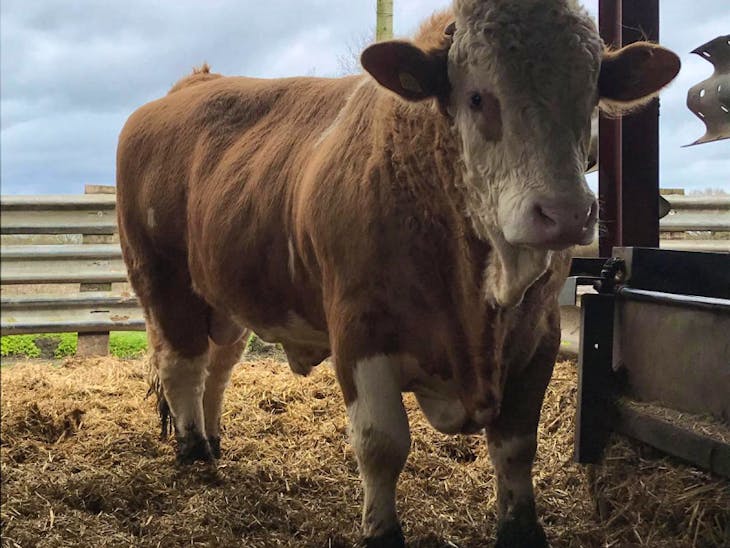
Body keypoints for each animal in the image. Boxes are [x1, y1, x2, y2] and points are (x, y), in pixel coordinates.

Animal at [116, 1, 679, 545]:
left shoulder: (539, 335)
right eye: (477, 97)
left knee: (219, 364)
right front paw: (380, 530)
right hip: (162, 279)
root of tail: (190, 86)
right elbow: (381, 444)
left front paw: (521, 529)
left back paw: (212, 438)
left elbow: (517, 447)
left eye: (590, 95)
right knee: (183, 364)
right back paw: (193, 449)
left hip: (226, 294)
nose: (563, 213)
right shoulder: (360, 332)